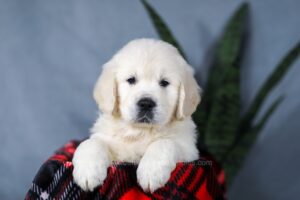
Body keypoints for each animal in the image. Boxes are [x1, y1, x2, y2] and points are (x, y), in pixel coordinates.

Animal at [71, 38, 200, 193]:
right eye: (131, 80)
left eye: (164, 82)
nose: (146, 104)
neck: (140, 131)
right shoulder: (111, 144)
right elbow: (92, 142)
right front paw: (88, 172)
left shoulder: (189, 150)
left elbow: (165, 143)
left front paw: (151, 172)